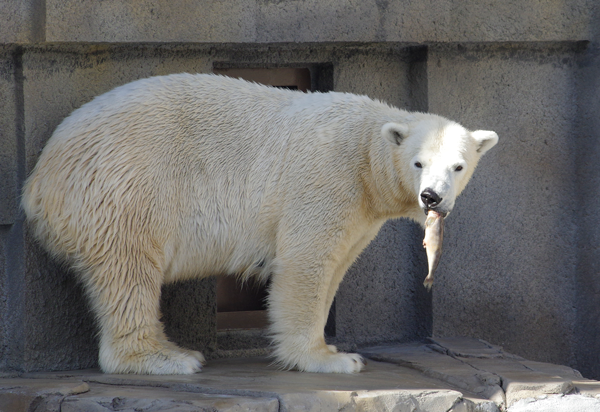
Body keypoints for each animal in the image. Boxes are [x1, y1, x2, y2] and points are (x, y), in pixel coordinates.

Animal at [21, 72, 500, 374]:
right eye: (419, 162)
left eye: (458, 166)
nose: (431, 196)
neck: (365, 151)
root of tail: (39, 181)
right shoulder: (327, 177)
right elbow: (306, 263)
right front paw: (331, 359)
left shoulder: (362, 211)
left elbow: (338, 264)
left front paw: (331, 346)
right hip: (125, 188)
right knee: (129, 269)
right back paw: (168, 357)